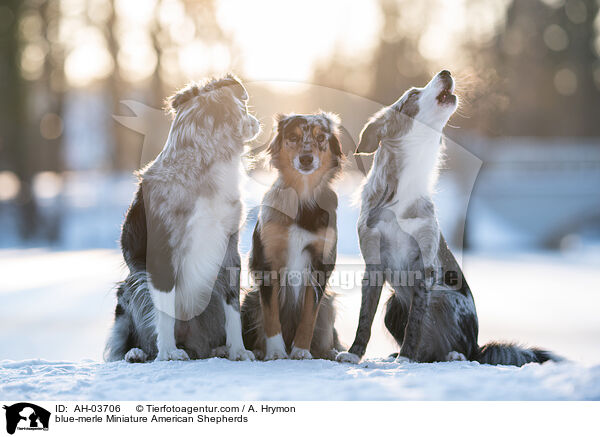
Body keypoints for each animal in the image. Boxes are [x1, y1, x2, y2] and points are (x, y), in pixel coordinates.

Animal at [105, 74, 258, 362]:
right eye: (243, 107)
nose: (257, 122)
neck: (203, 165)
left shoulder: (230, 247)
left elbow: (233, 307)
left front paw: (238, 349)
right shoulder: (162, 252)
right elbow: (165, 312)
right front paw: (167, 352)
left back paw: (219, 349)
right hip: (130, 288)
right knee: (123, 345)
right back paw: (137, 352)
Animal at [239, 111, 342, 358]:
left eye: (321, 138)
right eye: (293, 137)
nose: (306, 159)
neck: (302, 199)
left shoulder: (320, 264)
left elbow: (308, 316)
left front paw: (301, 352)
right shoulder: (267, 261)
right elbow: (271, 316)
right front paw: (276, 353)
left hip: (329, 306)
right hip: (250, 299)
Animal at [336, 70, 560, 364]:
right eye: (413, 95)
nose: (446, 72)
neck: (404, 185)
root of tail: (478, 346)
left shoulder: (426, 267)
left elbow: (415, 323)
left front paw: (405, 359)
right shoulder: (373, 264)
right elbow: (364, 318)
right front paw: (354, 354)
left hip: (445, 298)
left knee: (464, 350)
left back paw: (452, 355)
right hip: (394, 304)